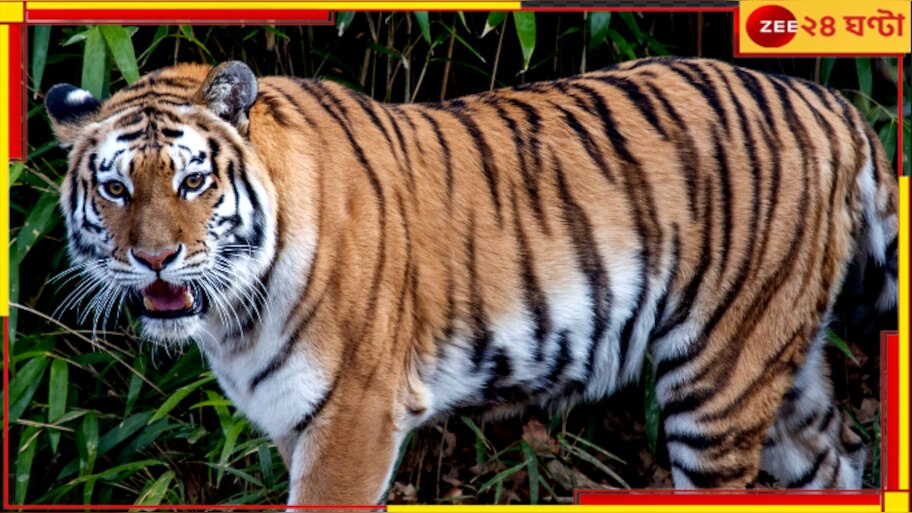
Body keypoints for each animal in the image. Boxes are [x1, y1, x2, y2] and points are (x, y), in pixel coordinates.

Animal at [45, 56, 898, 504]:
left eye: (192, 182)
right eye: (115, 188)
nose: (156, 258)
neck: (234, 313)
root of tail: (832, 103)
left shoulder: (353, 417)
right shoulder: (297, 421)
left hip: (719, 380)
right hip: (779, 360)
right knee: (840, 457)